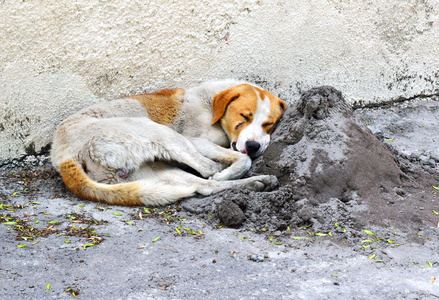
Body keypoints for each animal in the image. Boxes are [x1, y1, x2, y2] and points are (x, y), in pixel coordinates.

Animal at [51, 79, 288, 206]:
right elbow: (241, 160)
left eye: (269, 124)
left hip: (155, 173)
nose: (253, 147)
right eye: (244, 116)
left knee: (205, 186)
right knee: (207, 170)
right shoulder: (196, 140)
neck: (210, 103)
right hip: (159, 133)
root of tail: (64, 157)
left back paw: (258, 182)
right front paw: (230, 168)